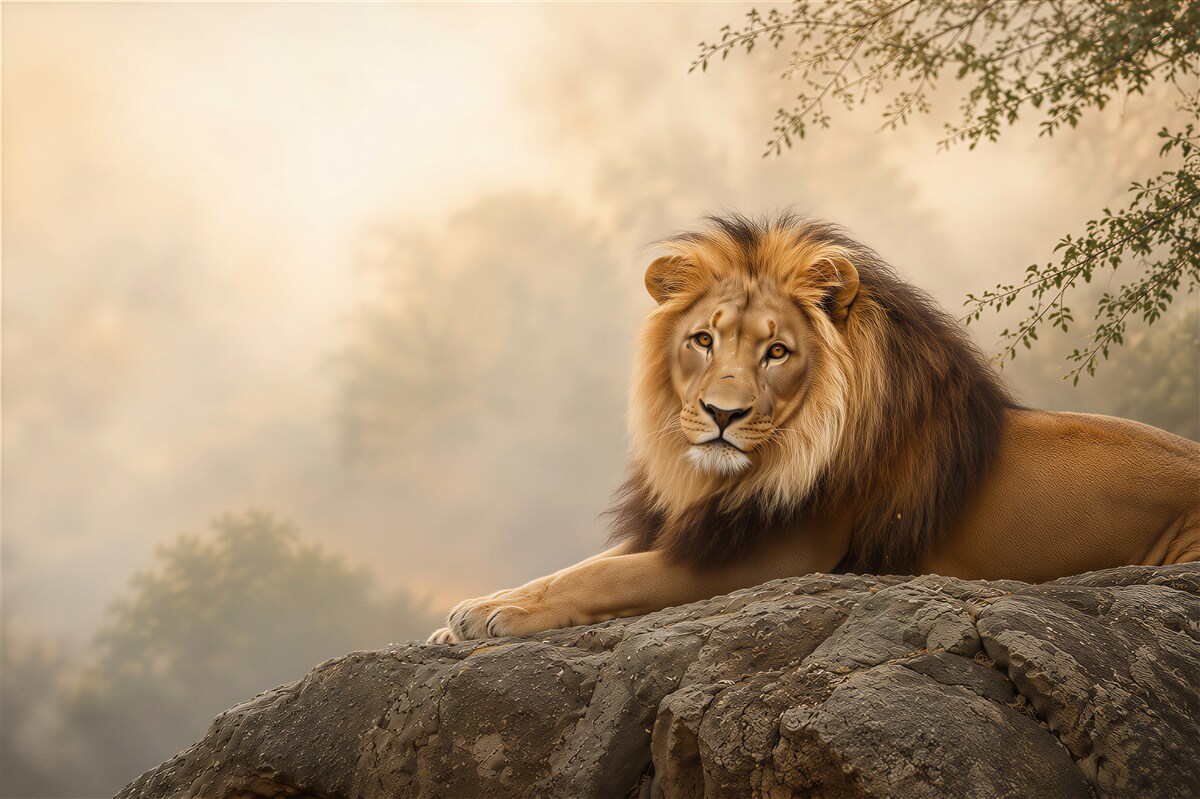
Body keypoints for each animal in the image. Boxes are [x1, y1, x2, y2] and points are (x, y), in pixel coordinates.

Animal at [429, 213, 1200, 644]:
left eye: (777, 352)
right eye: (703, 340)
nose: (723, 415)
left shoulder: (770, 556)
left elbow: (605, 577)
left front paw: (498, 615)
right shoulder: (703, 525)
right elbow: (581, 566)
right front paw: (467, 612)